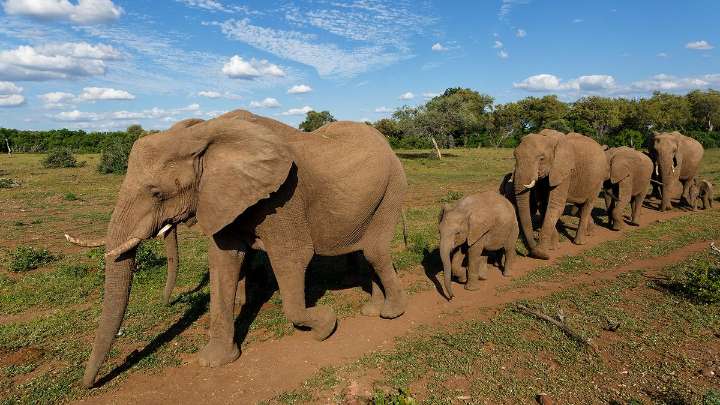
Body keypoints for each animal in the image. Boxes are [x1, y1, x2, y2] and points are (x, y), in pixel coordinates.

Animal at [78, 110, 408, 388]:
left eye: (157, 193)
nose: (89, 384)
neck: (206, 134)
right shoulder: (223, 196)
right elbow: (224, 262)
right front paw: (215, 362)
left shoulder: (284, 197)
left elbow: (292, 257)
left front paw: (325, 326)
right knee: (365, 253)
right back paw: (372, 310)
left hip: (392, 188)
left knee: (375, 252)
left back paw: (391, 314)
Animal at [513, 129, 608, 260]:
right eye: (515, 156)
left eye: (541, 158)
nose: (530, 252)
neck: (548, 138)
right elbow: (543, 205)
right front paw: (553, 247)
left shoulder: (564, 171)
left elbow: (555, 206)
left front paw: (541, 253)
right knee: (581, 206)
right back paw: (591, 233)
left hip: (598, 180)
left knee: (587, 206)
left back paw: (579, 242)